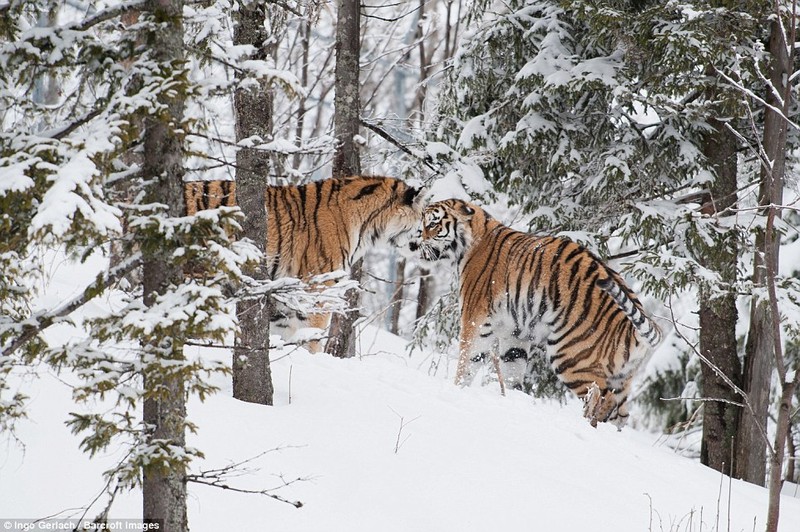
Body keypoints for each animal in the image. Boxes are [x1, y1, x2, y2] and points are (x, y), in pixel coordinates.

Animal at [418, 200, 664, 428]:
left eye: (432, 223)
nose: (416, 240)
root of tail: (632, 328)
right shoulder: (514, 333)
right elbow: (512, 368)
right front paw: (509, 397)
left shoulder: (474, 319)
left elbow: (467, 361)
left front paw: (457, 389)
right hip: (622, 377)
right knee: (619, 414)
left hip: (571, 356)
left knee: (599, 398)